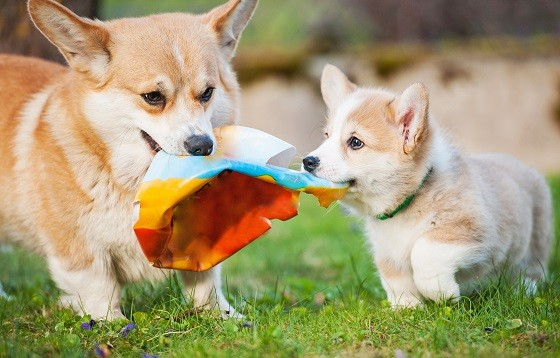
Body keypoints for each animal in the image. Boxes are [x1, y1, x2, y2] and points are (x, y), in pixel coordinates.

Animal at [0, 0, 258, 318]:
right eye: (153, 96)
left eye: (207, 93)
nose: (202, 145)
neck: (137, 182)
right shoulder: (78, 250)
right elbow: (100, 288)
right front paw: (112, 322)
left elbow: (205, 282)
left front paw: (223, 316)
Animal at [304, 64, 552, 308]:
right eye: (327, 136)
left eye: (355, 142)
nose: (308, 162)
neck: (405, 202)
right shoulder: (386, 251)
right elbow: (394, 278)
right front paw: (407, 307)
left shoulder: (471, 229)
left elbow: (423, 253)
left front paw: (442, 293)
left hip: (535, 241)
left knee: (533, 268)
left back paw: (525, 289)